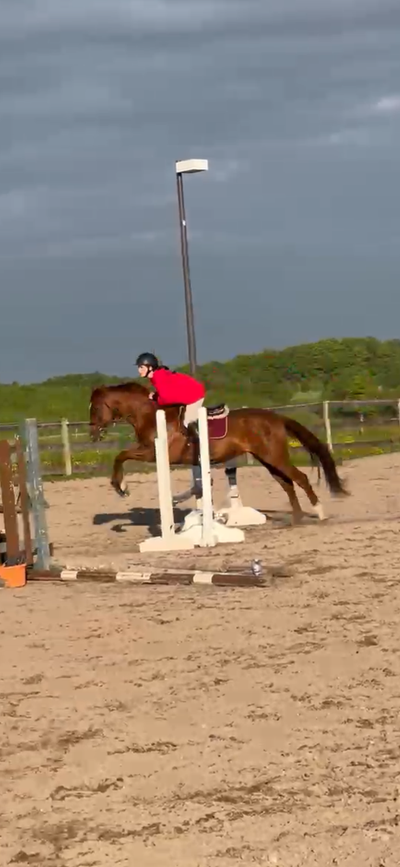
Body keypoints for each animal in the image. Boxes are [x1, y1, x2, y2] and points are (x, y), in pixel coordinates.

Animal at [88, 381, 348, 525]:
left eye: (96, 407)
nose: (92, 434)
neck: (148, 414)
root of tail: (275, 417)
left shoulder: (152, 453)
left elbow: (121, 455)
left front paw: (121, 487)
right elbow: (122, 455)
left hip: (274, 456)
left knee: (299, 478)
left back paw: (320, 513)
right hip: (267, 459)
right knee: (287, 483)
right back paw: (296, 518)